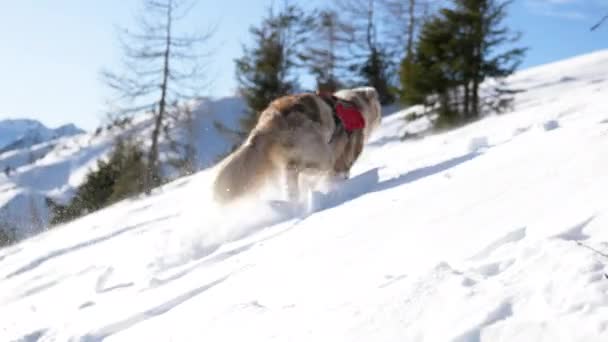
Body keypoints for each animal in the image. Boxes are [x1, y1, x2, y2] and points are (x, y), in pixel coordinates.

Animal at [214, 87, 382, 207]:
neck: (352, 104)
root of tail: (270, 120)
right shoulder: (342, 163)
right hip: (323, 157)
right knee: (297, 169)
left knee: (292, 184)